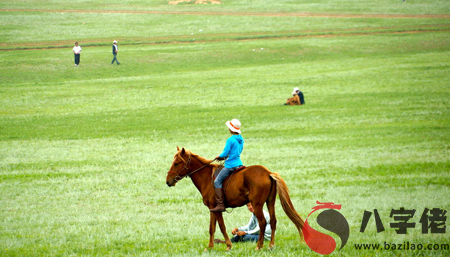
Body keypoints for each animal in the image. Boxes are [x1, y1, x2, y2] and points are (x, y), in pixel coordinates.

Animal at [166, 147, 306, 249]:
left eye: (176, 163)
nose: (168, 181)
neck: (207, 177)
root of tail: (267, 173)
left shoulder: (217, 209)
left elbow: (222, 226)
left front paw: (228, 245)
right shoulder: (212, 209)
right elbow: (212, 228)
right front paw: (210, 247)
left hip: (257, 205)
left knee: (262, 222)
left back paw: (259, 246)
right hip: (270, 202)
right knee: (272, 221)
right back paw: (271, 245)